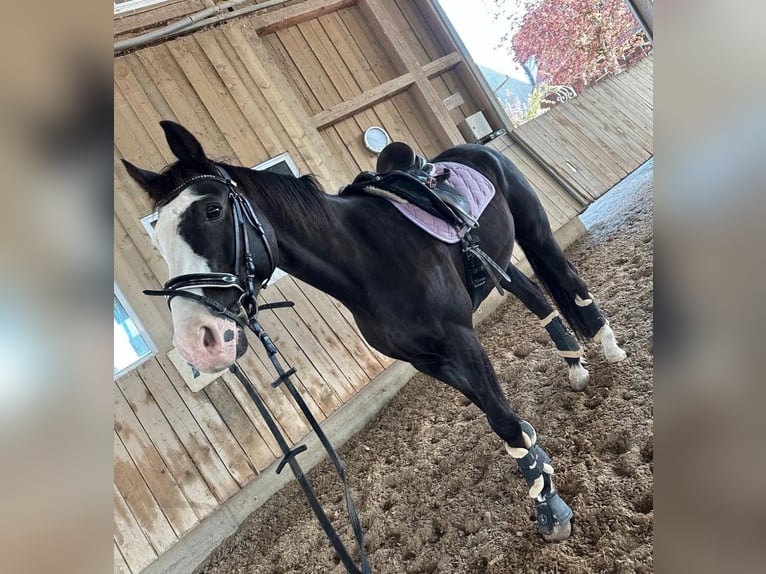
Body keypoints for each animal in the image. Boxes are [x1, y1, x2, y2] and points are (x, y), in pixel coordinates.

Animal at [122, 120, 627, 544]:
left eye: (212, 210)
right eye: (157, 237)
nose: (196, 341)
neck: (368, 258)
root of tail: (477, 150)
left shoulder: (460, 341)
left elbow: (501, 419)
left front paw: (550, 508)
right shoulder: (427, 359)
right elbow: (497, 416)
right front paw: (537, 460)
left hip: (534, 230)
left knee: (569, 281)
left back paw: (609, 348)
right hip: (496, 261)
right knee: (538, 297)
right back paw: (576, 367)